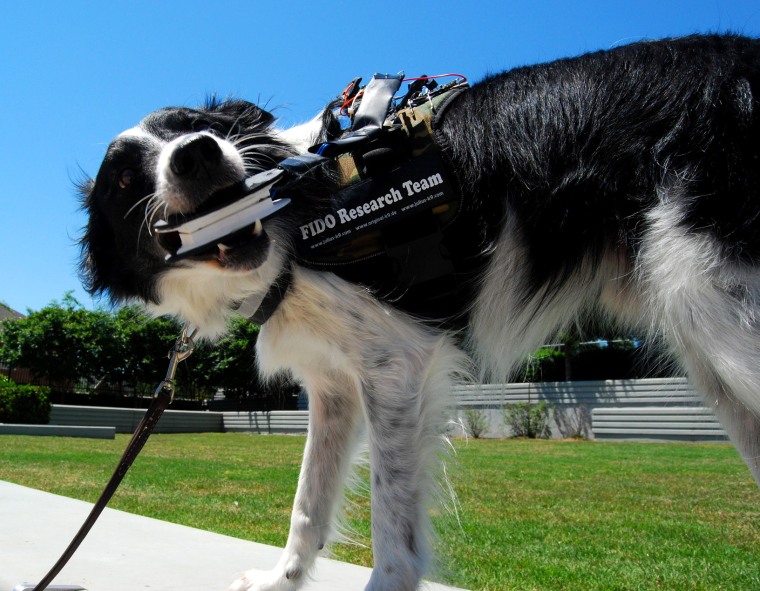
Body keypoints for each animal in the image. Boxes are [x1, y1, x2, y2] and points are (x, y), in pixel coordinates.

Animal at [80, 34, 756, 588]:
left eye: (196, 123)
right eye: (123, 180)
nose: (197, 153)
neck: (292, 225)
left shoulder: (397, 364)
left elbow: (391, 523)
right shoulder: (334, 386)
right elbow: (308, 503)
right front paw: (280, 581)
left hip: (715, 311)